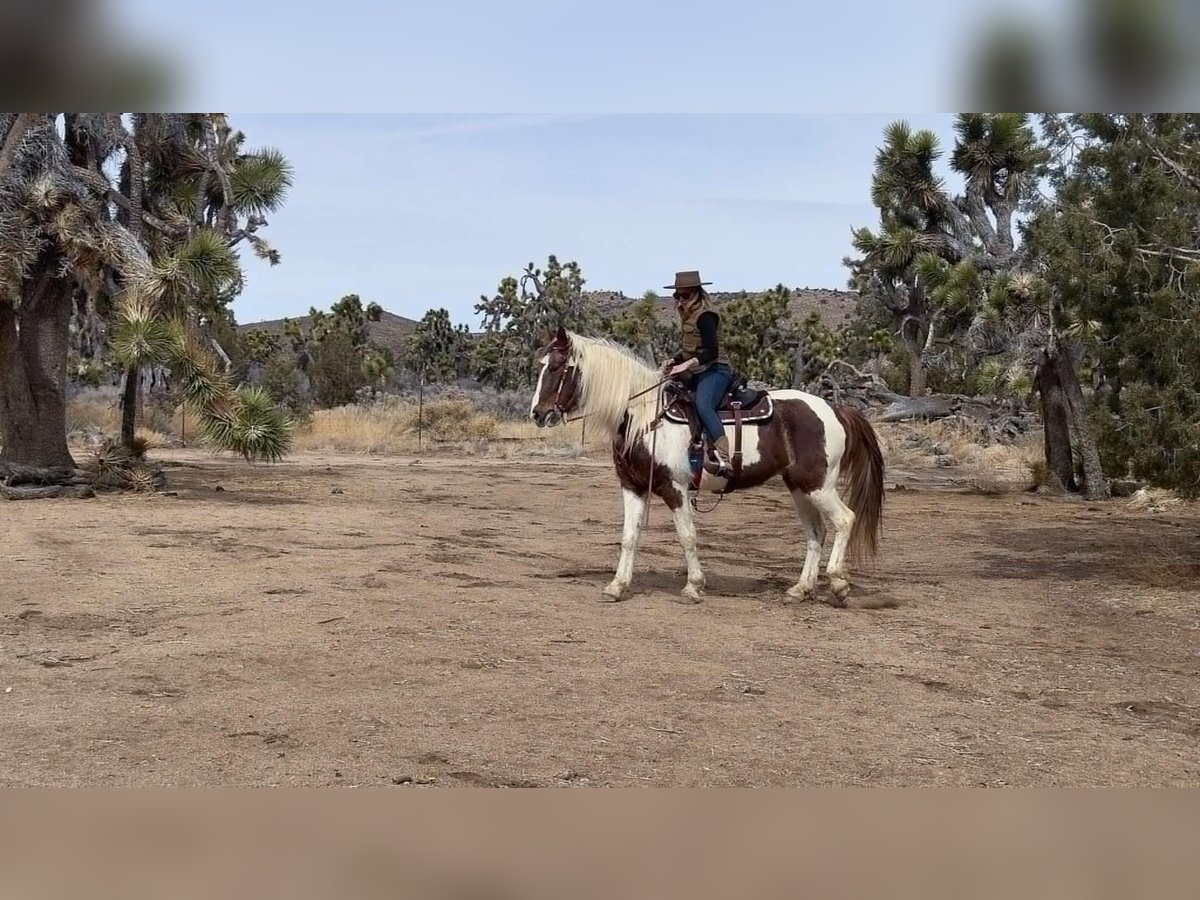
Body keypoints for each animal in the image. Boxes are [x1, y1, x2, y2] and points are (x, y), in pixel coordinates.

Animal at [530, 324, 888, 607]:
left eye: (558, 367)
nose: (537, 414)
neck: (644, 416)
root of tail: (835, 409)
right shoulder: (632, 487)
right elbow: (629, 536)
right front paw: (617, 586)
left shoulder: (674, 488)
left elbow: (687, 536)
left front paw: (693, 586)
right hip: (800, 487)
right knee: (816, 533)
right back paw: (800, 589)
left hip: (819, 485)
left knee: (845, 520)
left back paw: (839, 583)